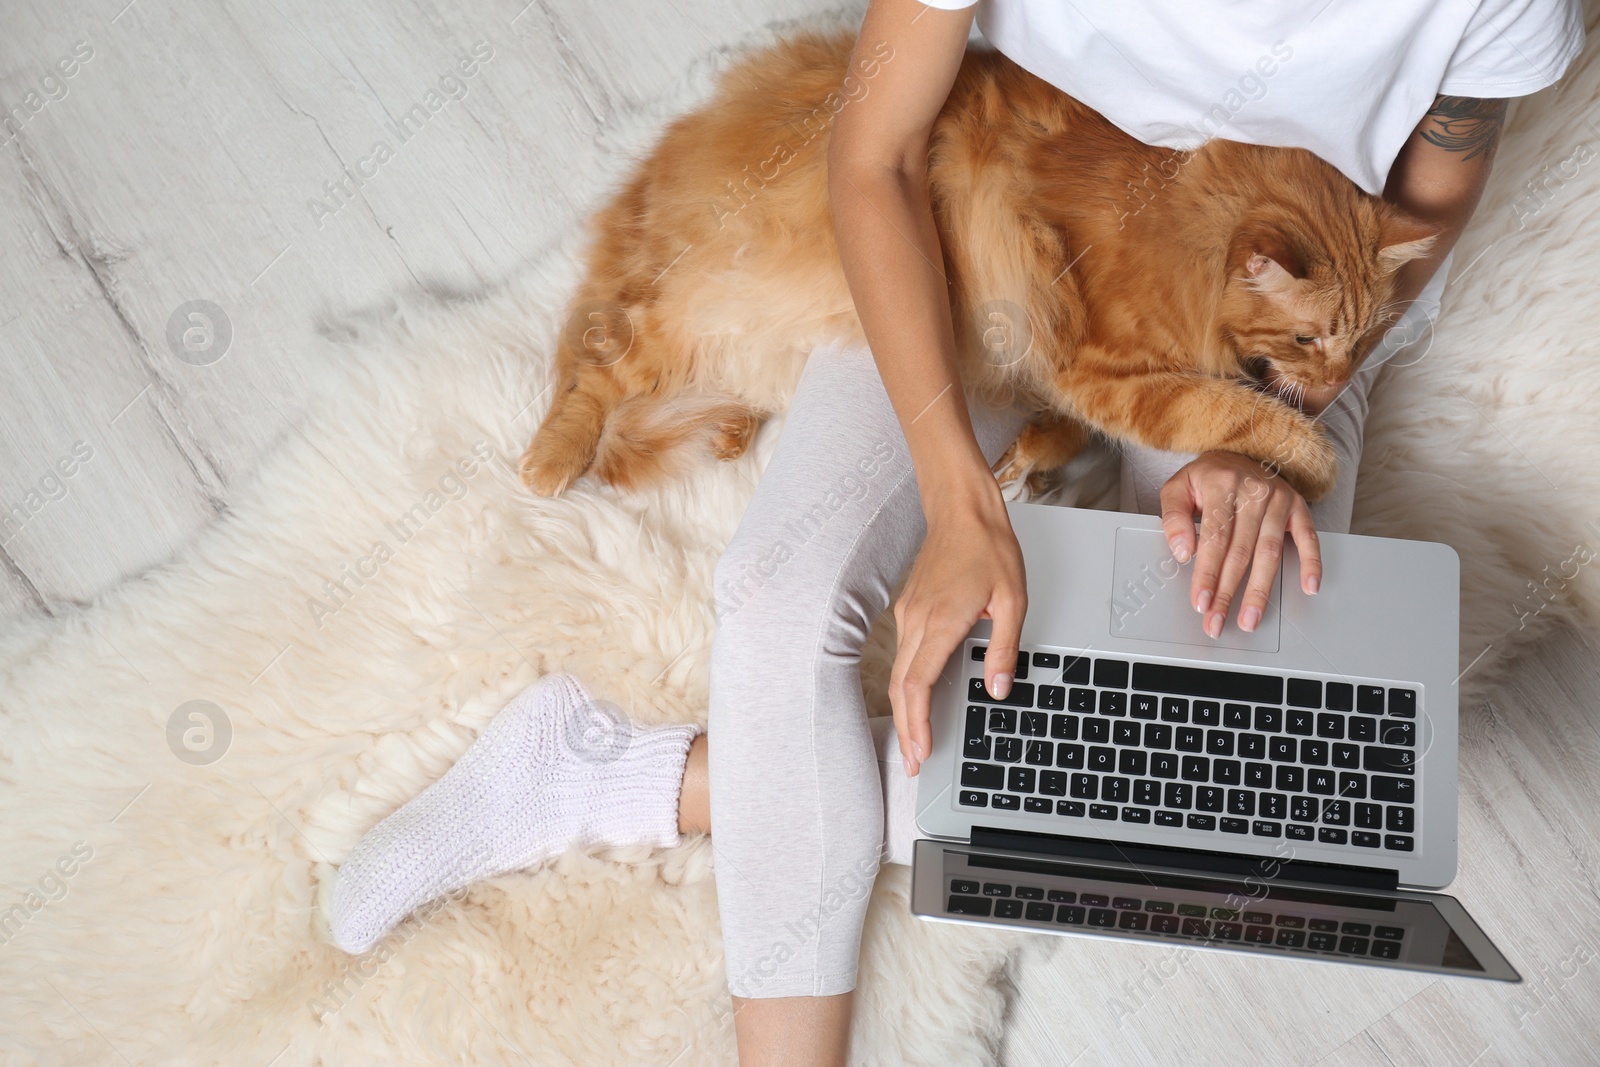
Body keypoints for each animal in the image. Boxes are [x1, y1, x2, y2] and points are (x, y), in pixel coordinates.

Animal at [518, 29, 1433, 505]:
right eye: (1312, 338)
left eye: (1361, 340)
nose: (1339, 382)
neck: (1181, 224)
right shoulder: (1098, 364)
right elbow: (1234, 413)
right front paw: (1313, 457)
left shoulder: (1065, 372)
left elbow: (1069, 429)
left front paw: (1029, 458)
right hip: (706, 305)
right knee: (603, 367)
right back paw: (551, 460)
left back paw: (730, 426)